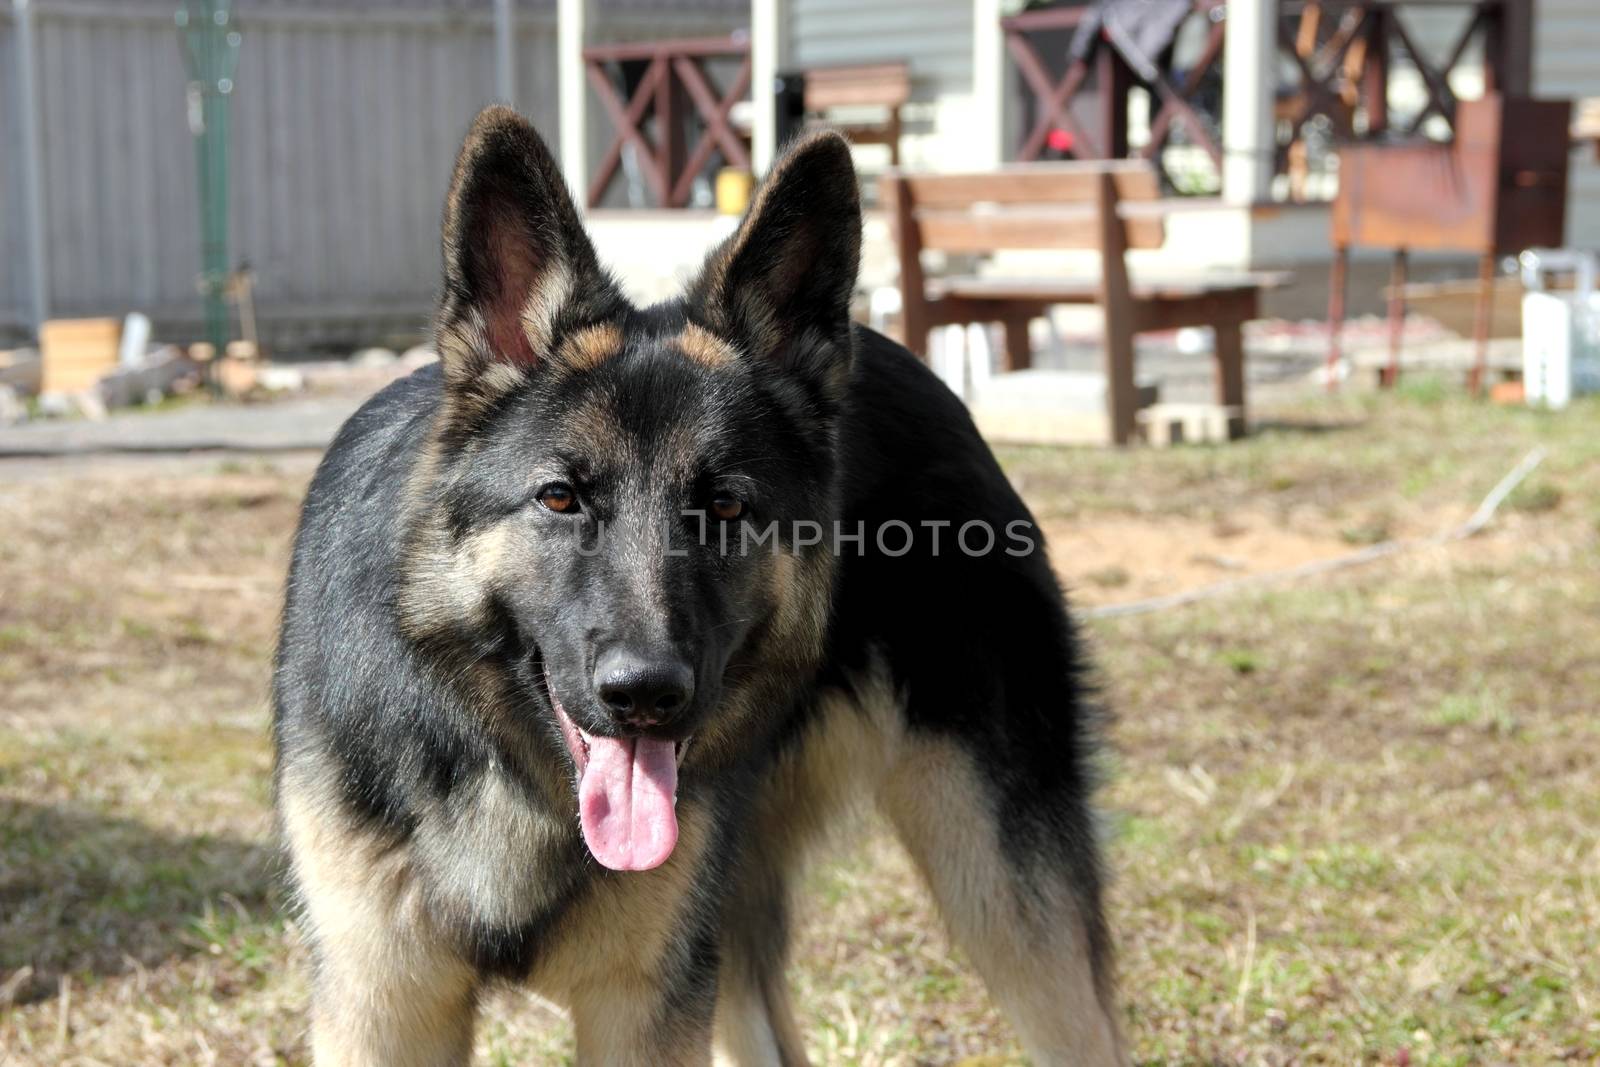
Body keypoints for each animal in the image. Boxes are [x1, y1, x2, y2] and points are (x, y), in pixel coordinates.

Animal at [275, 110, 1126, 1067]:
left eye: (724, 506)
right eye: (560, 497)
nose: (646, 694)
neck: (508, 767)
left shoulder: (643, 1009)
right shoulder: (385, 1007)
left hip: (1005, 899)